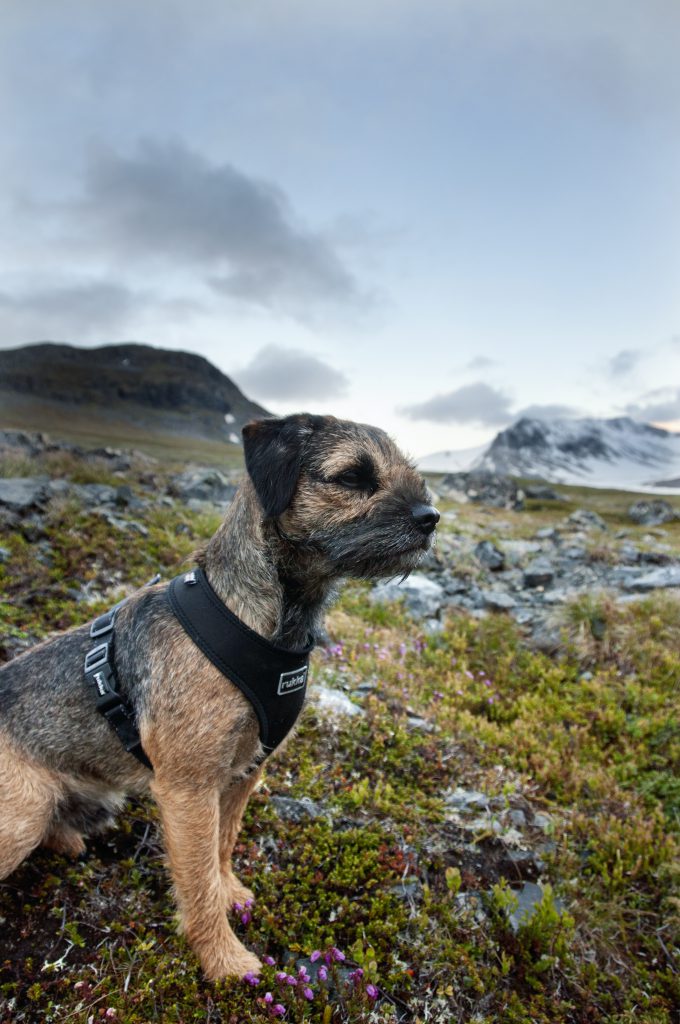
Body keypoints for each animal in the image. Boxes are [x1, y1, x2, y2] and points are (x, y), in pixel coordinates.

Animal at [0, 411, 438, 978]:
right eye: (352, 477)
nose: (430, 517)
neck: (260, 622)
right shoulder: (188, 789)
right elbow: (197, 879)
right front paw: (226, 963)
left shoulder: (243, 772)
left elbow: (222, 847)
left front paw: (231, 893)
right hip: (23, 814)